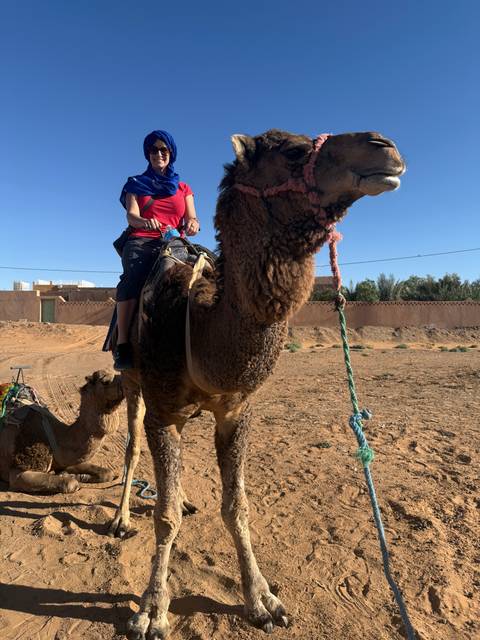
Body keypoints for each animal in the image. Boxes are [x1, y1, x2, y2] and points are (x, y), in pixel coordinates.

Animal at [109, 129, 405, 640]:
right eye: (293, 152)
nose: (385, 147)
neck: (197, 324)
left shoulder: (235, 412)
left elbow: (236, 507)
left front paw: (263, 600)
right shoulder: (164, 409)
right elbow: (164, 519)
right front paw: (150, 611)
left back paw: (184, 499)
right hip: (133, 381)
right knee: (131, 446)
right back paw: (121, 520)